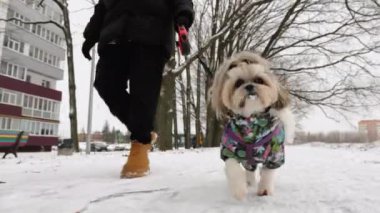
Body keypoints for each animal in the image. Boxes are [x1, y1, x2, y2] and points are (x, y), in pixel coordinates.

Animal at [209, 51, 296, 200]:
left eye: (259, 80)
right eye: (238, 83)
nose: (249, 86)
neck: (252, 119)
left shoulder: (275, 153)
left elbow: (268, 172)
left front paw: (265, 189)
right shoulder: (229, 149)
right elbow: (233, 168)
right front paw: (239, 189)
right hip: (246, 159)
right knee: (249, 168)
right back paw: (249, 182)